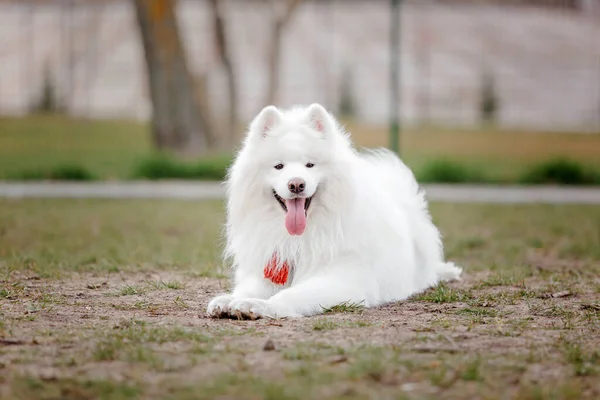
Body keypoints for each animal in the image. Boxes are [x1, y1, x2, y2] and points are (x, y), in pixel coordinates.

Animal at [205, 103, 460, 318]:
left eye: (310, 165)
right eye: (279, 166)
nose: (296, 184)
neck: (300, 236)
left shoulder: (342, 279)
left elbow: (291, 294)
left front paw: (259, 306)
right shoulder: (269, 268)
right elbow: (247, 289)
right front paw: (229, 300)